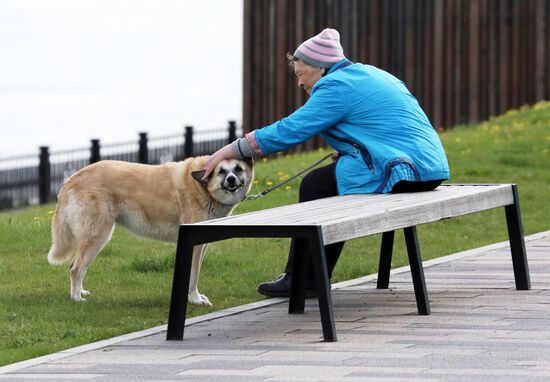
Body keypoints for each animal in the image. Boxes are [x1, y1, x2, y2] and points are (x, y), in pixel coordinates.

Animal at [47, 155, 254, 304]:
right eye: (221, 171)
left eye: (238, 168)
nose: (231, 180)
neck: (203, 188)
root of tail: (70, 180)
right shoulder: (195, 245)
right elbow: (193, 275)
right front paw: (195, 299)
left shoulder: (202, 243)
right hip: (97, 234)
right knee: (76, 268)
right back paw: (76, 298)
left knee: (78, 266)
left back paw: (80, 291)